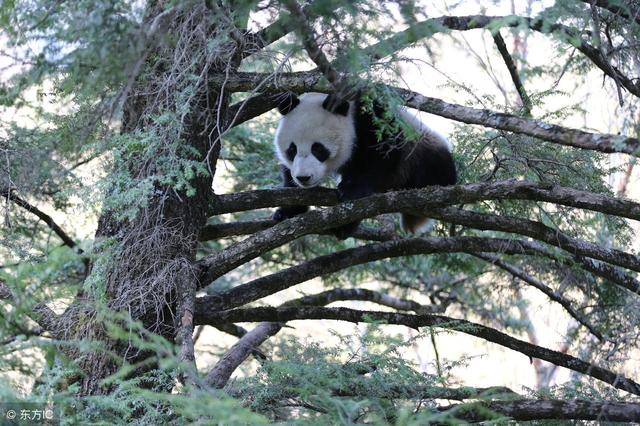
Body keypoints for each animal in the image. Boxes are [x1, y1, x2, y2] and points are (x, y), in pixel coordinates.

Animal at [272, 91, 458, 238]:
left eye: (318, 148)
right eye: (292, 149)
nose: (304, 177)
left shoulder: (373, 118)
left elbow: (382, 154)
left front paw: (351, 190)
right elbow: (290, 181)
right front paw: (287, 212)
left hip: (421, 147)